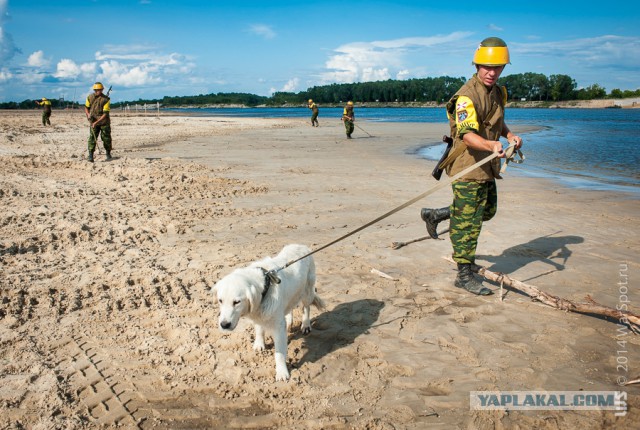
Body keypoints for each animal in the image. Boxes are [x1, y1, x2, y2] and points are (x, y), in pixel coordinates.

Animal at [214, 244, 324, 382]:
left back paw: (305, 325)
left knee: (306, 307)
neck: (265, 286)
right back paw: (289, 322)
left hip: (307, 290)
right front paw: (259, 344)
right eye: (220, 300)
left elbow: (279, 353)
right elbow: (259, 330)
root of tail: (302, 245)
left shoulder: (277, 326)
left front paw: (282, 373)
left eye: (237, 302)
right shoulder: (258, 314)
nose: (224, 325)